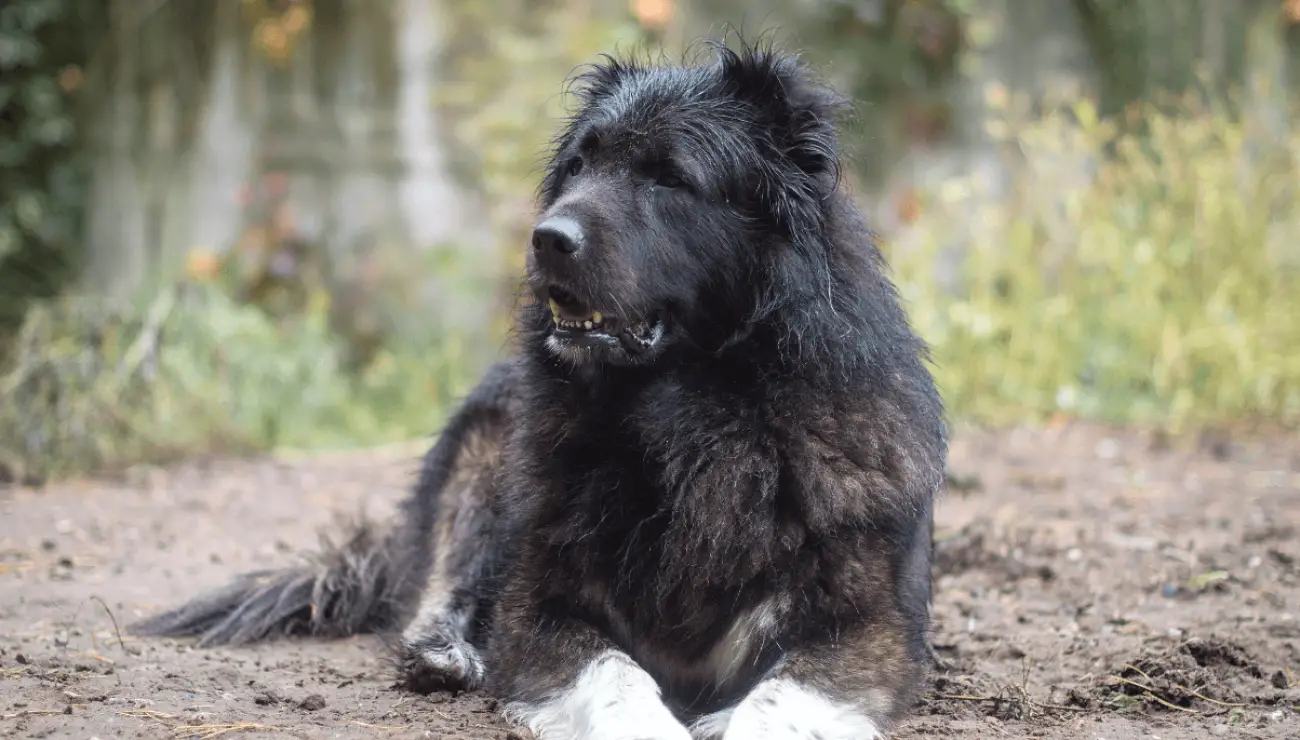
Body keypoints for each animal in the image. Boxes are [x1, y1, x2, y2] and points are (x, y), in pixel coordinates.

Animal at [131, 39, 946, 738]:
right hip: (488, 475)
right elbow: (614, 674)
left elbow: (777, 698)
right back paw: (445, 653)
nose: (546, 239)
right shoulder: (543, 611)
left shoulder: (861, 629)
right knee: (434, 593)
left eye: (668, 178)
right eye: (580, 166)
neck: (689, 425)